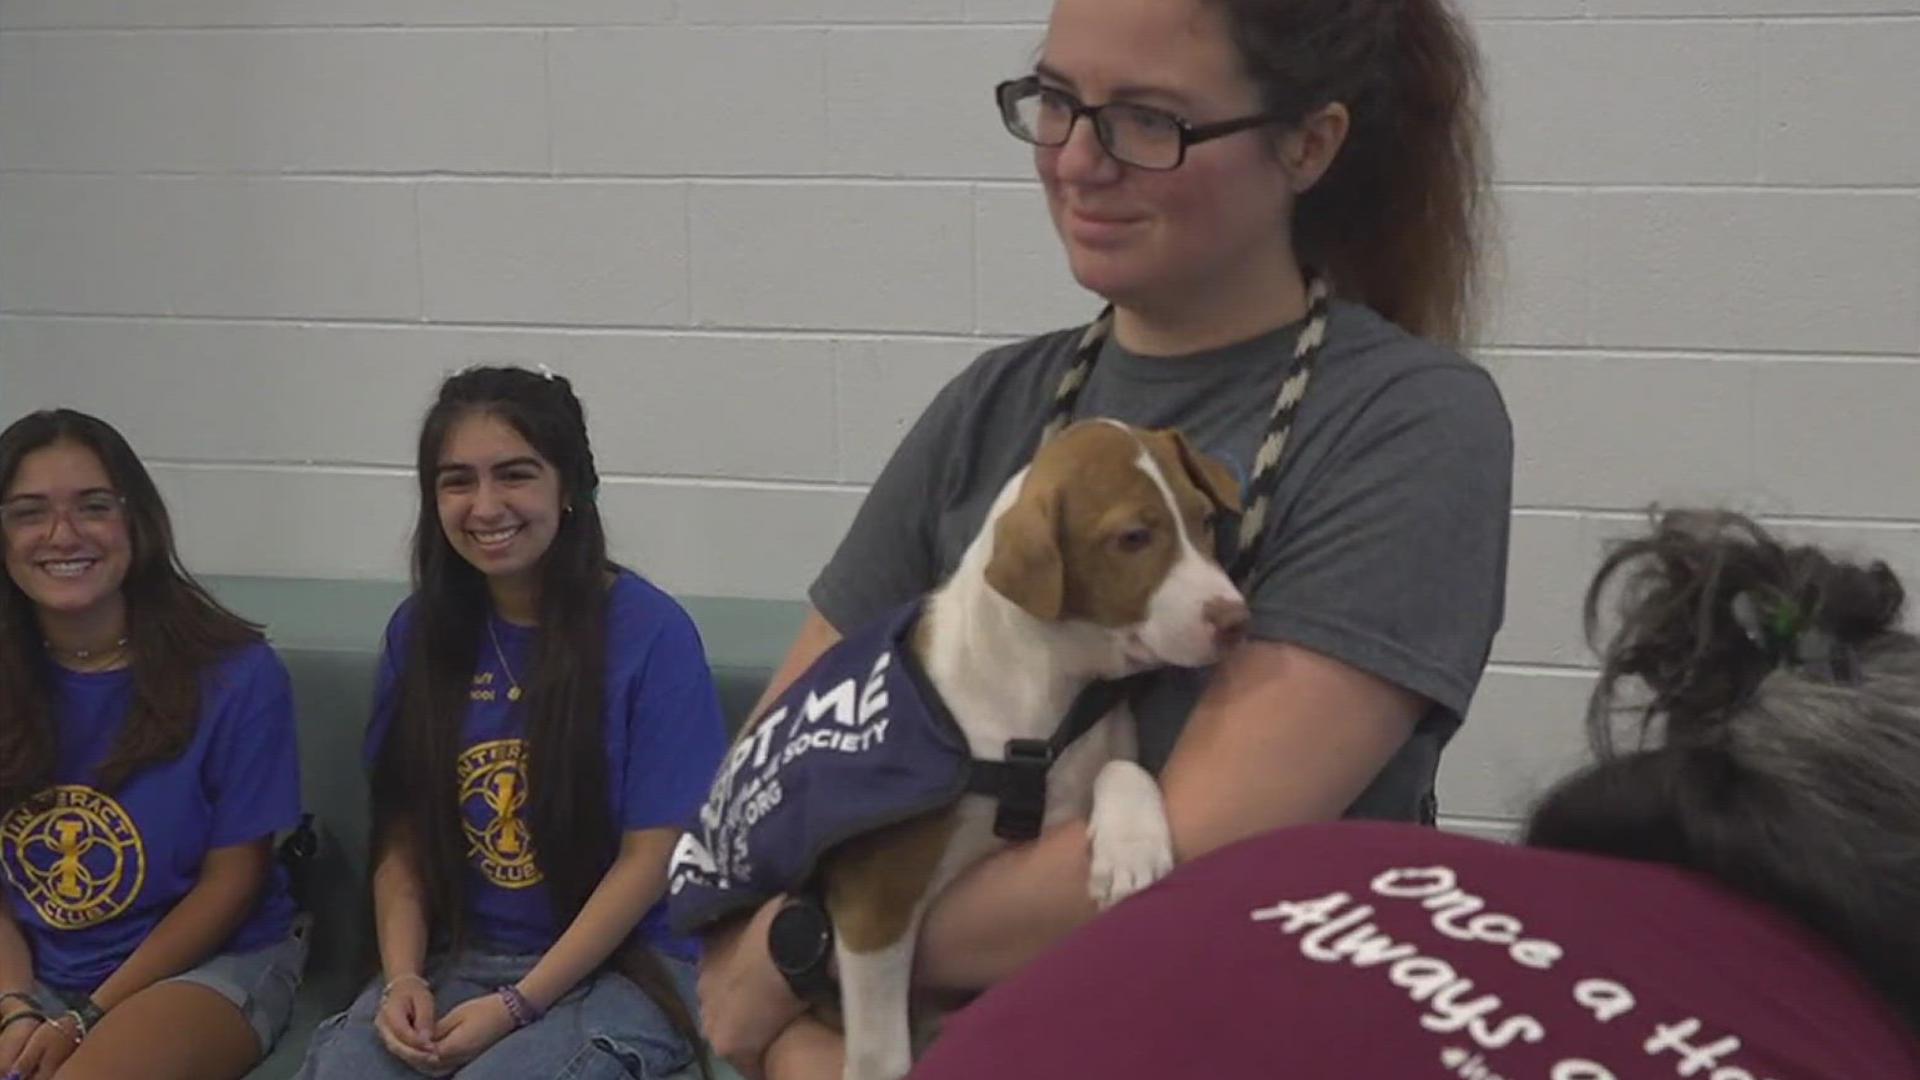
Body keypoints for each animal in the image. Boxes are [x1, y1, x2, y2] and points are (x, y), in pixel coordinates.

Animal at [821, 418, 1244, 1076]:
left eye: (1202, 519)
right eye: (1133, 538)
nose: (1235, 620)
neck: (1051, 690)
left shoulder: (1099, 745)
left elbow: (1123, 768)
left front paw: (1130, 847)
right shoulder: (874, 894)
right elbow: (879, 1054)